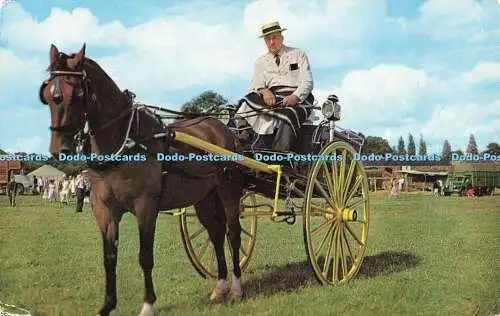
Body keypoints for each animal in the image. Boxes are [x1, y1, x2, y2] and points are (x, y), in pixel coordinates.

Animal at [39, 43, 248, 314]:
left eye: (75, 94)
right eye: (47, 95)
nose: (59, 149)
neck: (125, 141)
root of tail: (223, 128)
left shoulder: (145, 206)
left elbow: (145, 257)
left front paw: (148, 304)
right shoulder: (104, 209)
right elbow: (109, 257)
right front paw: (107, 305)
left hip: (228, 190)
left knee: (233, 233)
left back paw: (236, 288)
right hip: (204, 197)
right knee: (215, 233)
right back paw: (220, 286)